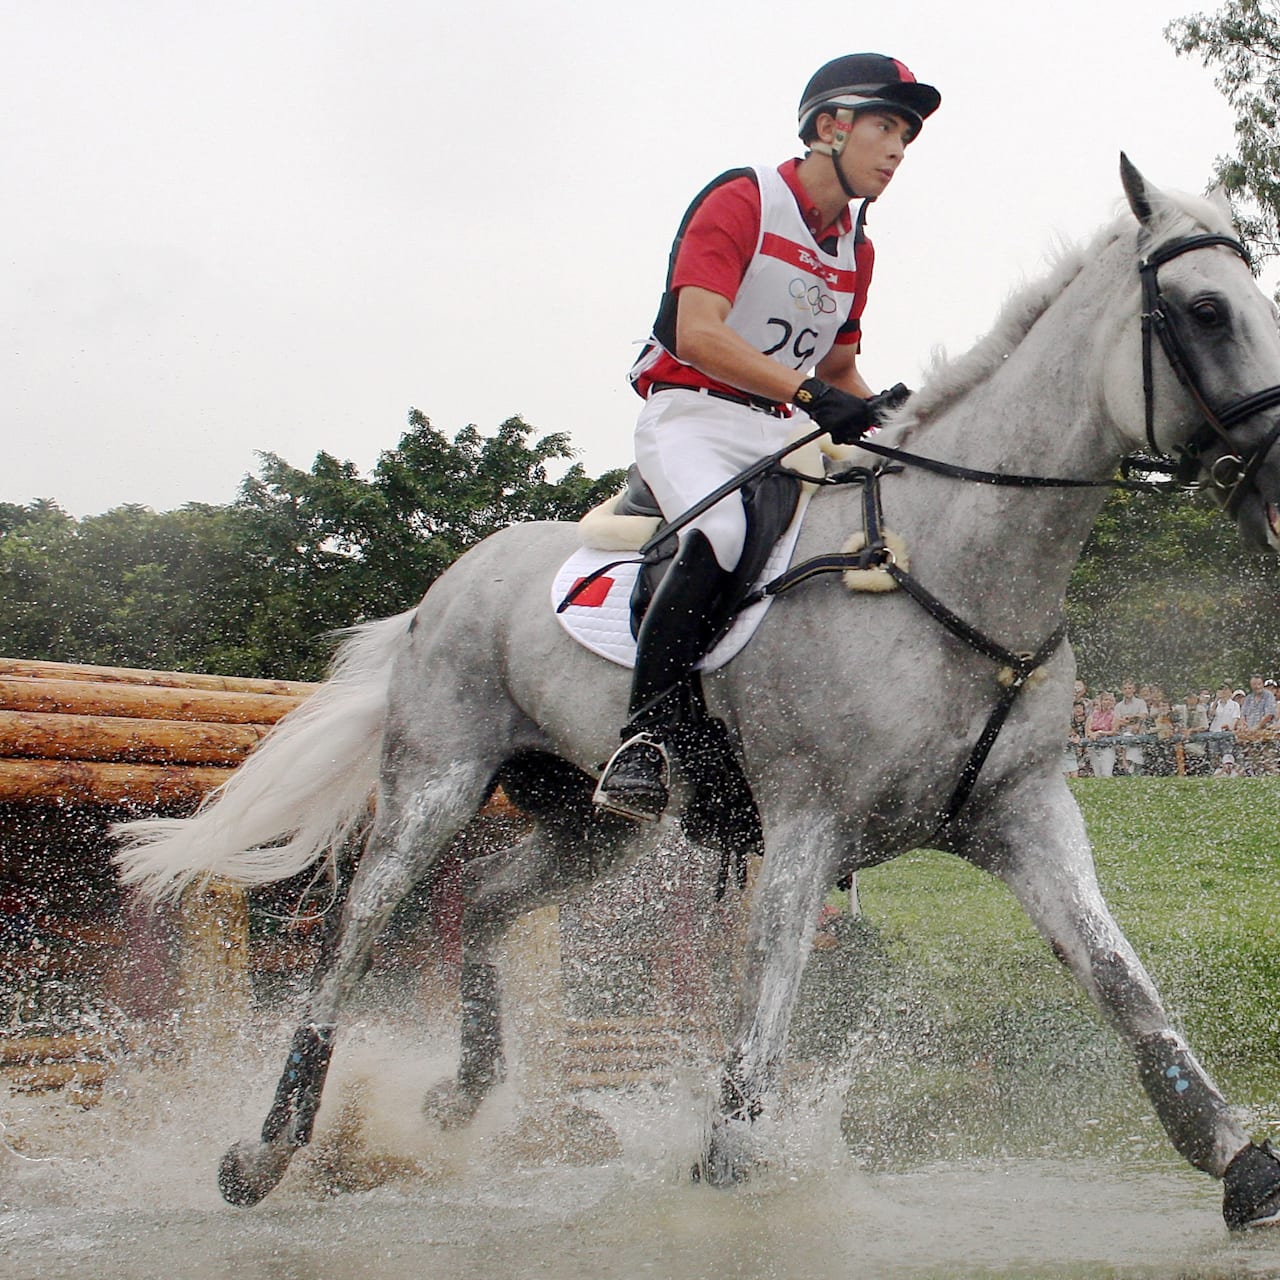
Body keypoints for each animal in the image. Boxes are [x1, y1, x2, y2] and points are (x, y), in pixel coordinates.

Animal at [120, 162, 1280, 1228]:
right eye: (1205, 310)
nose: (1277, 483)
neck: (948, 556)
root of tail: (445, 586)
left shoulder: (1022, 812)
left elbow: (1124, 986)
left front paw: (1237, 1161)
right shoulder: (808, 824)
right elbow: (756, 1049)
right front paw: (727, 1191)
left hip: (589, 823)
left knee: (485, 900)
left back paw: (464, 1094)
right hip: (436, 780)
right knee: (355, 931)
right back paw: (266, 1148)